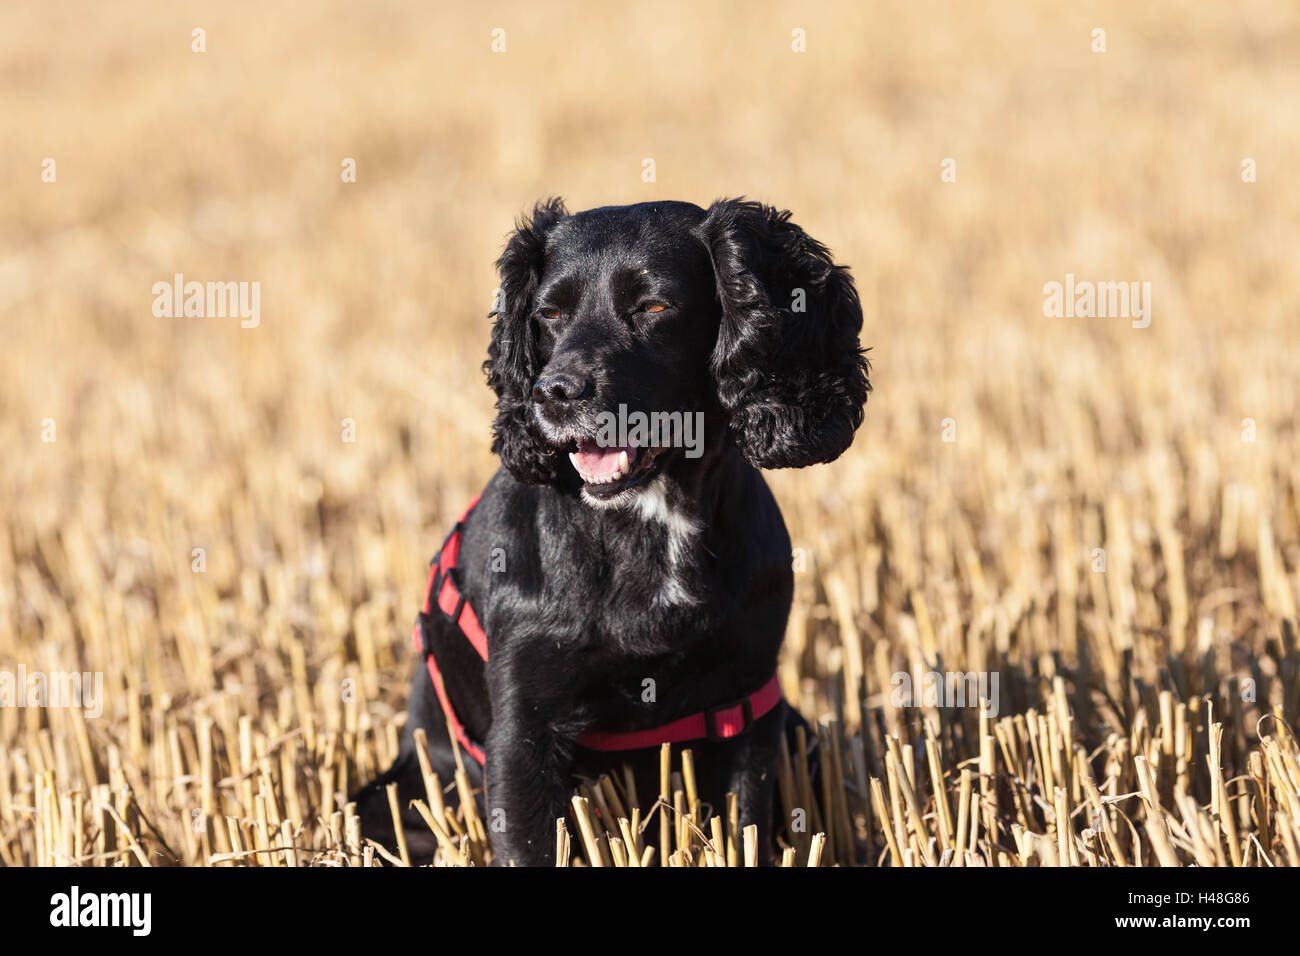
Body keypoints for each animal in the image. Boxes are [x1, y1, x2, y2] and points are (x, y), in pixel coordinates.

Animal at [351, 197, 868, 863]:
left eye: (653, 307)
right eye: (548, 313)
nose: (552, 393)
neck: (649, 517)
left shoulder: (749, 708)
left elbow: (744, 830)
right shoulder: (523, 729)